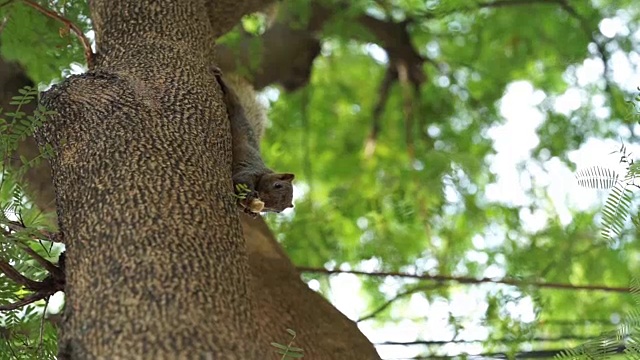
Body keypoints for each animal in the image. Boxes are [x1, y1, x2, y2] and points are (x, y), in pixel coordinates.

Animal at [214, 66, 296, 215]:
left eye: (277, 211)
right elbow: (241, 179)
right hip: (236, 110)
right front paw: (249, 195)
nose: (263, 199)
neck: (265, 173)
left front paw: (250, 210)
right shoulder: (250, 170)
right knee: (232, 99)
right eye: (277, 185)